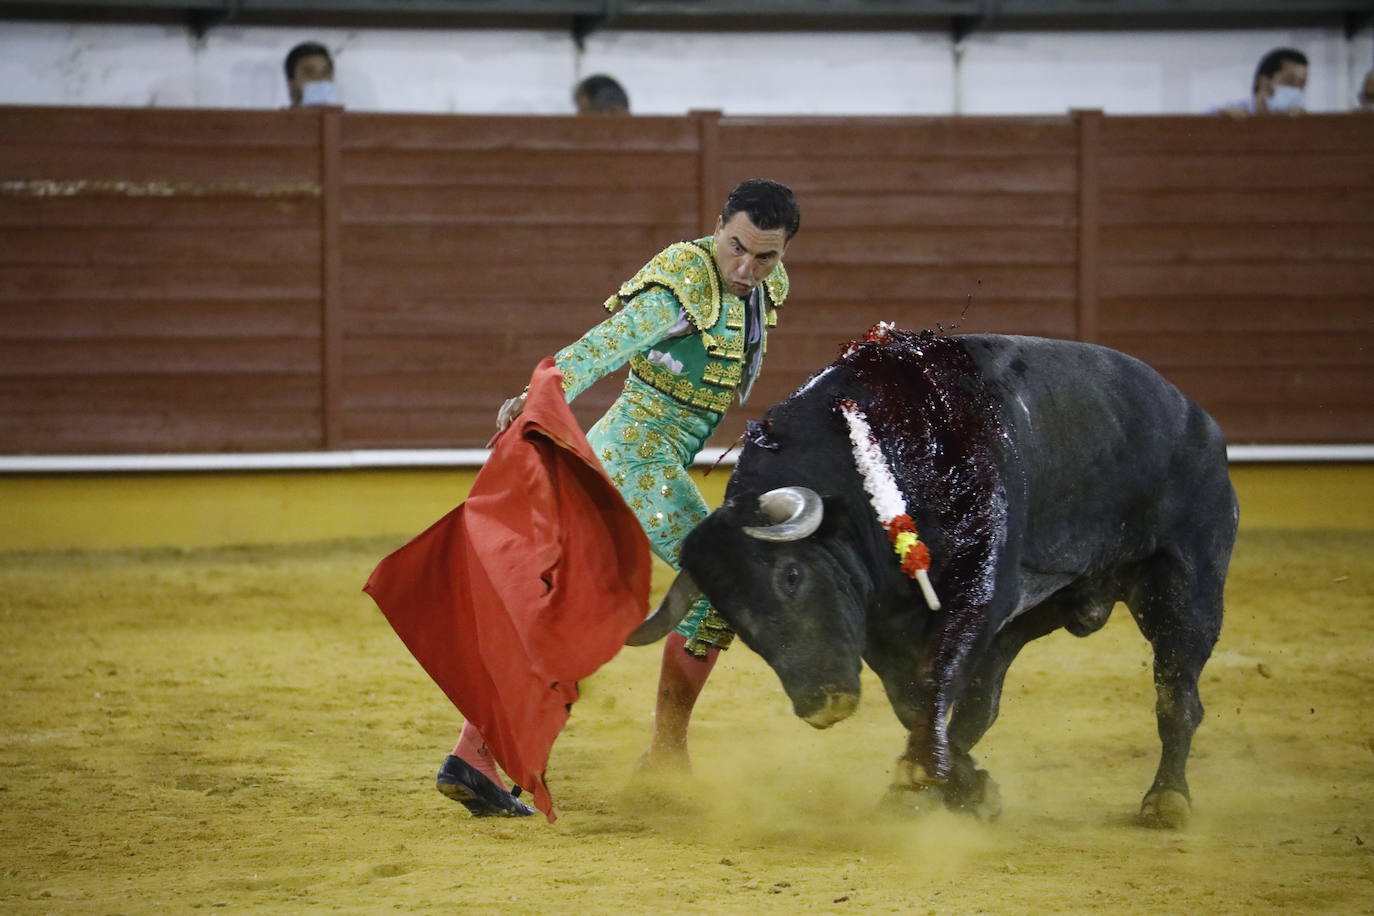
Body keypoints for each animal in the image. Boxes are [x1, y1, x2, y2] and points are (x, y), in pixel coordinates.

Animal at [637, 330, 1242, 829]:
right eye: (735, 616)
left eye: (790, 575)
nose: (822, 704)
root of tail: (1200, 419)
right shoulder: (884, 623)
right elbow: (914, 697)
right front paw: (957, 785)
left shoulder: (980, 591)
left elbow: (933, 677)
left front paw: (927, 774)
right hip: (1029, 617)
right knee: (981, 701)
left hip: (1186, 586)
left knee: (1177, 692)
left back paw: (1167, 800)